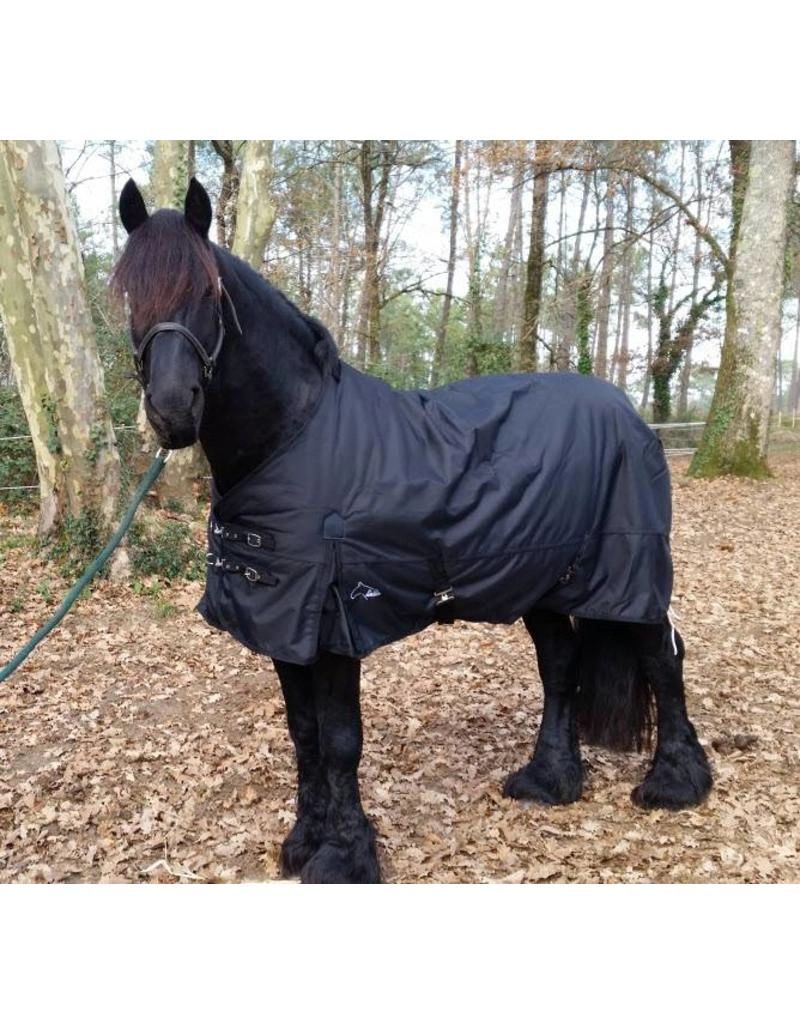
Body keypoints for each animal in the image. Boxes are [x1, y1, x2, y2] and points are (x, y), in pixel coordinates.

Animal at [111, 177, 713, 883]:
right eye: (131, 296)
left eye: (209, 293)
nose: (171, 411)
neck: (291, 437)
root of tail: (627, 411)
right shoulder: (284, 622)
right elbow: (304, 734)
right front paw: (304, 840)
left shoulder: (334, 623)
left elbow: (341, 741)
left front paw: (343, 856)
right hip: (540, 577)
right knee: (561, 665)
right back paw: (549, 779)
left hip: (629, 572)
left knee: (664, 661)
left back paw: (675, 784)